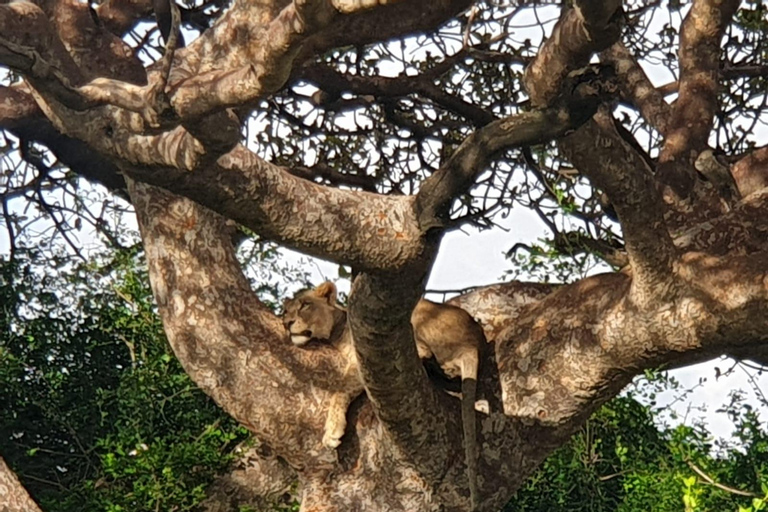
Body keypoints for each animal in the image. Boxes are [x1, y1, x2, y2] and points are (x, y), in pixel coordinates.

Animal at [282, 282, 486, 510]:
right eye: (285, 311)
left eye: (305, 305)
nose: (286, 323)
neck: (337, 330)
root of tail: (473, 342)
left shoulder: (362, 357)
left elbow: (339, 390)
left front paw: (332, 431)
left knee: (425, 353)